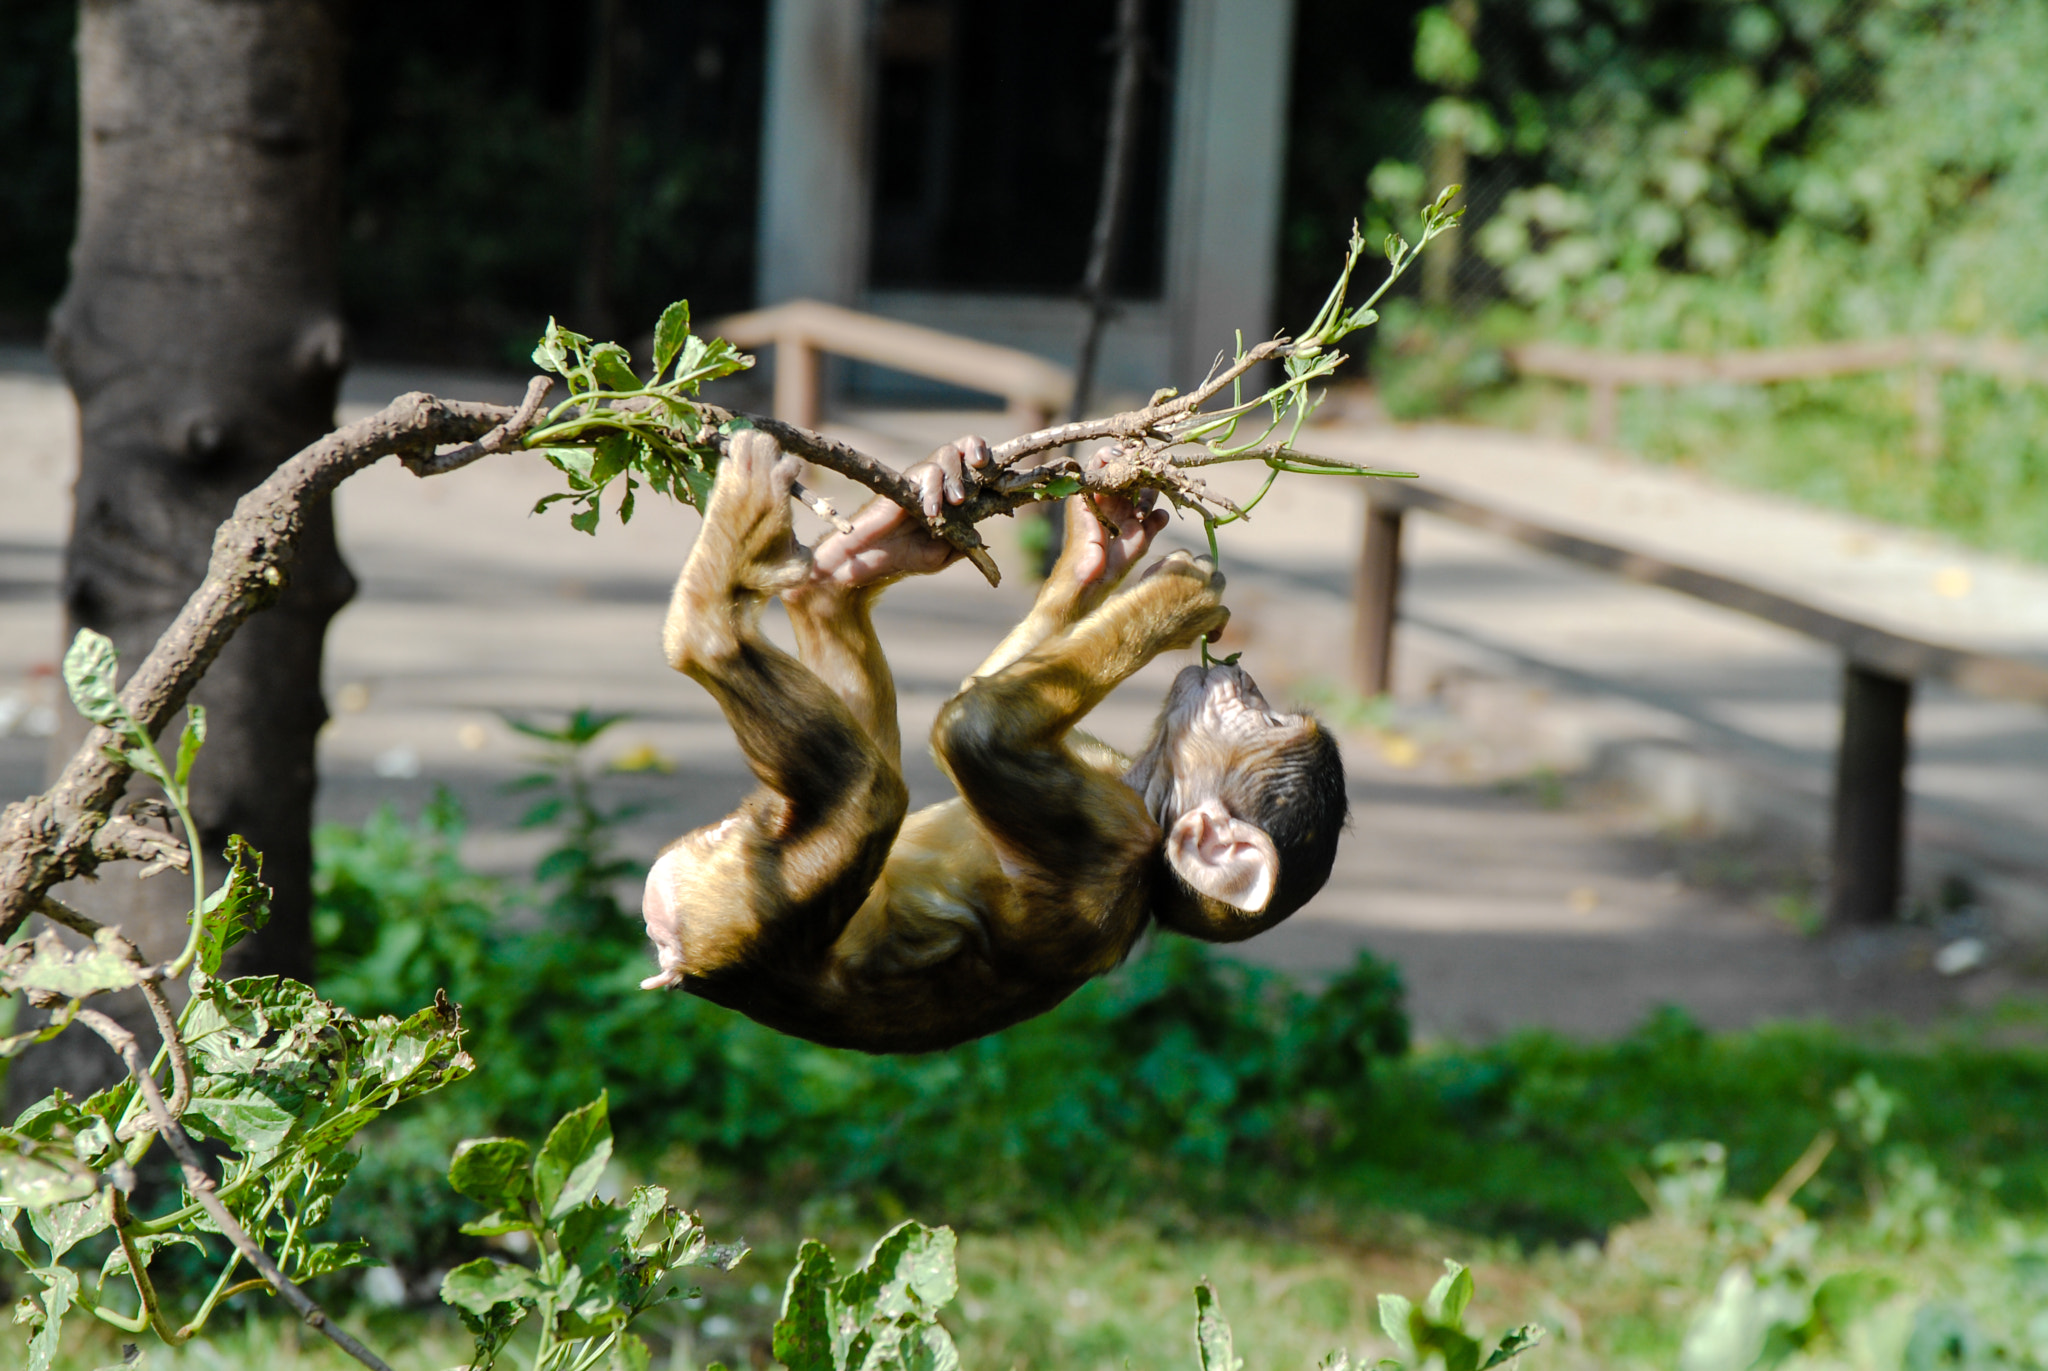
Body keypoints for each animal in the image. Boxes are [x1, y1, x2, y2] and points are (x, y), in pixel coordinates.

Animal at [638, 429, 1347, 1053]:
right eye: (1270, 715)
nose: (1244, 679)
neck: (1150, 805)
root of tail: (687, 963)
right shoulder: (1108, 776)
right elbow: (977, 697)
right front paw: (1099, 548)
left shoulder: (1111, 844)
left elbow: (972, 728)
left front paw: (1177, 601)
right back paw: (867, 553)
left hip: (739, 903)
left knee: (871, 791)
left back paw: (717, 600)